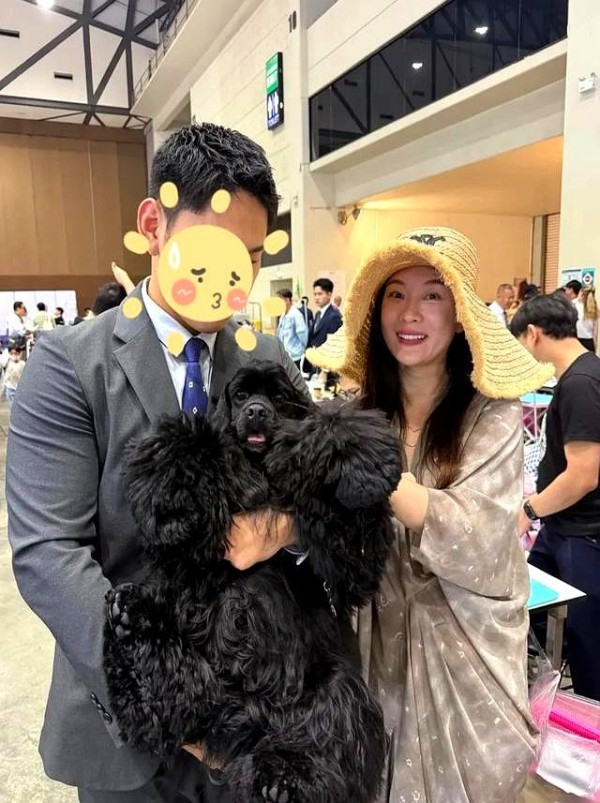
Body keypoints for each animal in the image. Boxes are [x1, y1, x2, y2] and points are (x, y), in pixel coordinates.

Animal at [104, 361, 402, 803]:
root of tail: (244, 717)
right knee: (159, 706)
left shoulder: (346, 562)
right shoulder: (190, 557)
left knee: (324, 731)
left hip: (335, 685)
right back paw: (128, 615)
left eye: (278, 397)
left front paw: (362, 470)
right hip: (194, 683)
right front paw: (176, 492)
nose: (257, 412)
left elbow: (334, 435)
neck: (259, 472)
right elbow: (183, 456)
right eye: (241, 396)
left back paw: (281, 780)